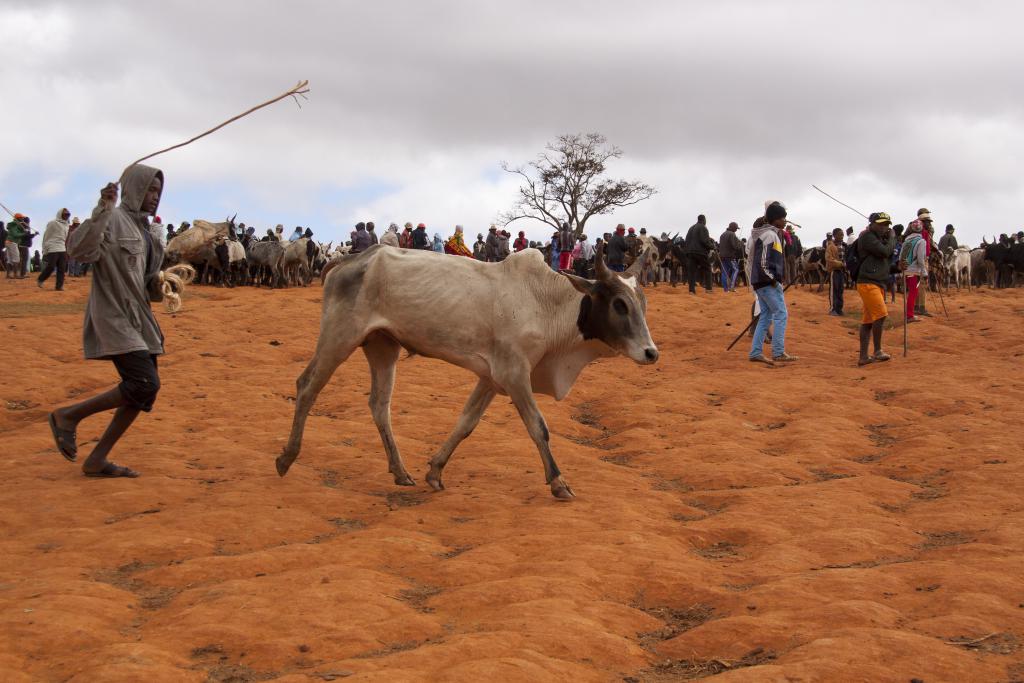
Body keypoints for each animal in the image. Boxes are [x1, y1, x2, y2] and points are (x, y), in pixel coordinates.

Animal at [274, 242, 655, 499]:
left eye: (642, 304)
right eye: (619, 304)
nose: (651, 353)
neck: (546, 303)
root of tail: (350, 259)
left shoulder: (491, 378)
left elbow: (465, 423)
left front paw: (435, 471)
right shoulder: (515, 375)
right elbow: (538, 428)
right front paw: (559, 482)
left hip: (382, 347)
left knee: (379, 405)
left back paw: (401, 472)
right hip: (339, 337)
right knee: (307, 385)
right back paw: (286, 458)